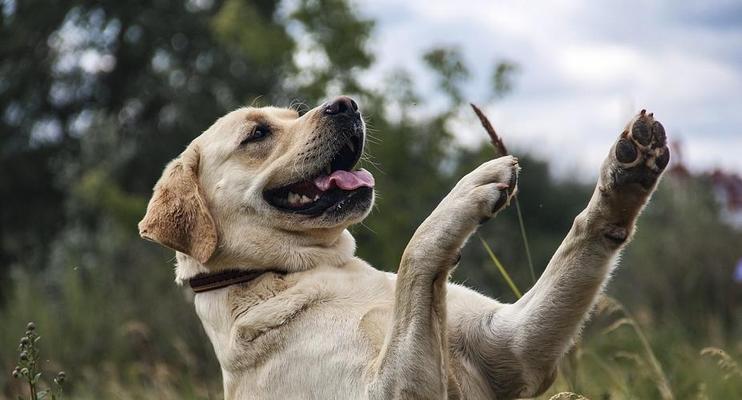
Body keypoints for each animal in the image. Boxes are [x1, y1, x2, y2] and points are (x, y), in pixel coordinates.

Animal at [138, 97, 668, 400]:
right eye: (258, 133)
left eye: (295, 113)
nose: (345, 104)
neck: (299, 272)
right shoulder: (388, 390)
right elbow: (416, 250)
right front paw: (468, 190)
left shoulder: (513, 347)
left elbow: (580, 239)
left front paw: (625, 175)